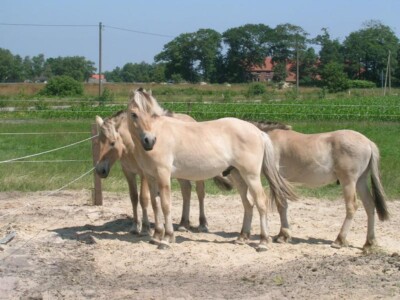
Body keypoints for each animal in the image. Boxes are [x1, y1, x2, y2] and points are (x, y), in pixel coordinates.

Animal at [126, 88, 296, 251]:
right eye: (134, 114)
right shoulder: (150, 176)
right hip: (238, 176)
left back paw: (263, 242)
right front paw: (156, 236)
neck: (160, 134)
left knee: (261, 202)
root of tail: (258, 132)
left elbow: (166, 205)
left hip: (251, 176)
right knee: (248, 204)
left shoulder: (163, 175)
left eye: (153, 115)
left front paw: (166, 239)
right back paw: (242, 237)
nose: (149, 141)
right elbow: (155, 205)